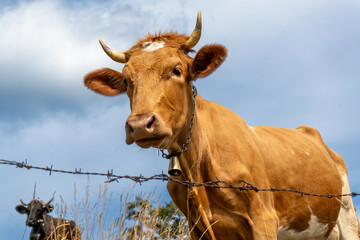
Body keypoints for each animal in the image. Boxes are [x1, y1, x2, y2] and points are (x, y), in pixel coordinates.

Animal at [85, 11, 360, 240]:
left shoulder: (263, 219)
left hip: (347, 217)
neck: (197, 168)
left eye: (177, 70)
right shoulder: (197, 228)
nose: (141, 124)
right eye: (127, 80)